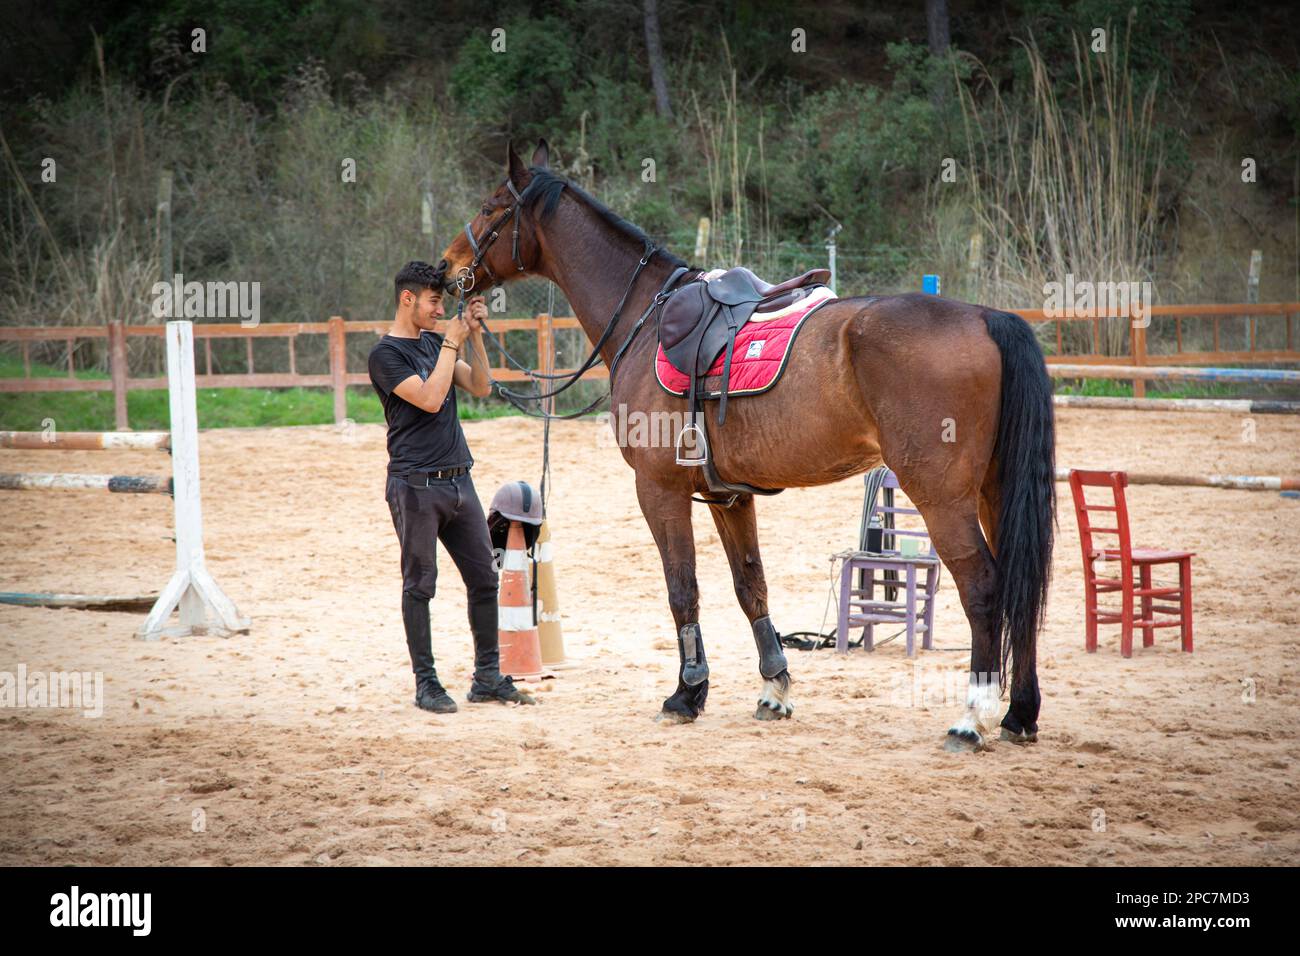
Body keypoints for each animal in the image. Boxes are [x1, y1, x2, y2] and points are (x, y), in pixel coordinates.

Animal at [435, 139, 1055, 751]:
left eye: (491, 208)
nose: (445, 267)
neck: (645, 317)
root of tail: (988, 318)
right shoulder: (729, 496)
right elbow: (750, 587)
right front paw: (774, 689)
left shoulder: (658, 489)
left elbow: (682, 589)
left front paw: (687, 694)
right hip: (995, 492)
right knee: (1020, 588)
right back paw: (1019, 714)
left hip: (941, 497)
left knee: (984, 587)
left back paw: (972, 717)